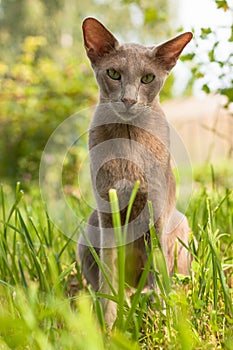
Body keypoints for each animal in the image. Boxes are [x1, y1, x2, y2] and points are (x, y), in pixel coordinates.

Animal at [77, 16, 192, 326]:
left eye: (148, 78)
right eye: (114, 73)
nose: (128, 100)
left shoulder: (156, 214)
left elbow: (158, 273)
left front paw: (164, 321)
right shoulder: (107, 213)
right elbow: (108, 276)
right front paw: (108, 326)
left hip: (181, 224)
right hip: (89, 227)